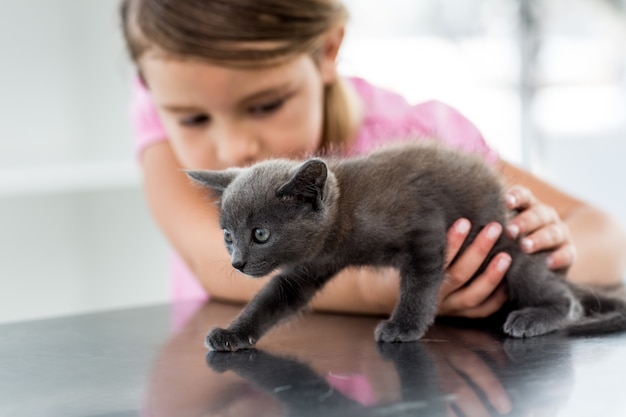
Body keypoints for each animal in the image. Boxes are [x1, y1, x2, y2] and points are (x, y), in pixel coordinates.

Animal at [186, 141, 624, 350]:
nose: (238, 262)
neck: (346, 214)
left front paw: (404, 327)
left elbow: (419, 285)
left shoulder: (426, 230)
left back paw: (534, 317)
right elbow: (273, 299)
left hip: (513, 247)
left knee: (566, 299)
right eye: (228, 236)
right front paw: (232, 333)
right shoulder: (309, 265)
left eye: (260, 234)